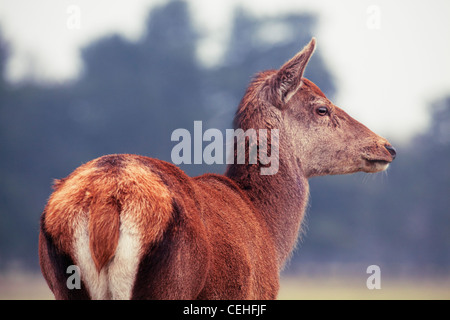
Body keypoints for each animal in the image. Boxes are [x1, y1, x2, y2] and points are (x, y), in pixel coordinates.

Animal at [39, 38, 398, 300]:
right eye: (321, 109)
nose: (387, 147)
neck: (268, 230)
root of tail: (105, 200)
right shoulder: (257, 292)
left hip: (64, 285)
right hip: (170, 285)